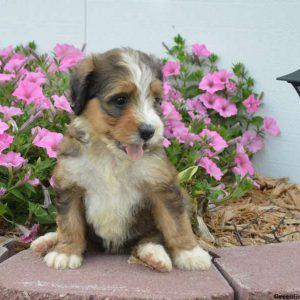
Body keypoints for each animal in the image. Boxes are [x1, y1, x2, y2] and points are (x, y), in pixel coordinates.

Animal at [30, 47, 211, 272]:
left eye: (156, 100)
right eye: (120, 99)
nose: (149, 131)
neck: (111, 156)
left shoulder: (162, 186)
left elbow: (176, 223)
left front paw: (190, 253)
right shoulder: (71, 185)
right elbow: (69, 223)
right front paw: (66, 252)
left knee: (151, 237)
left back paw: (154, 255)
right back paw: (45, 241)